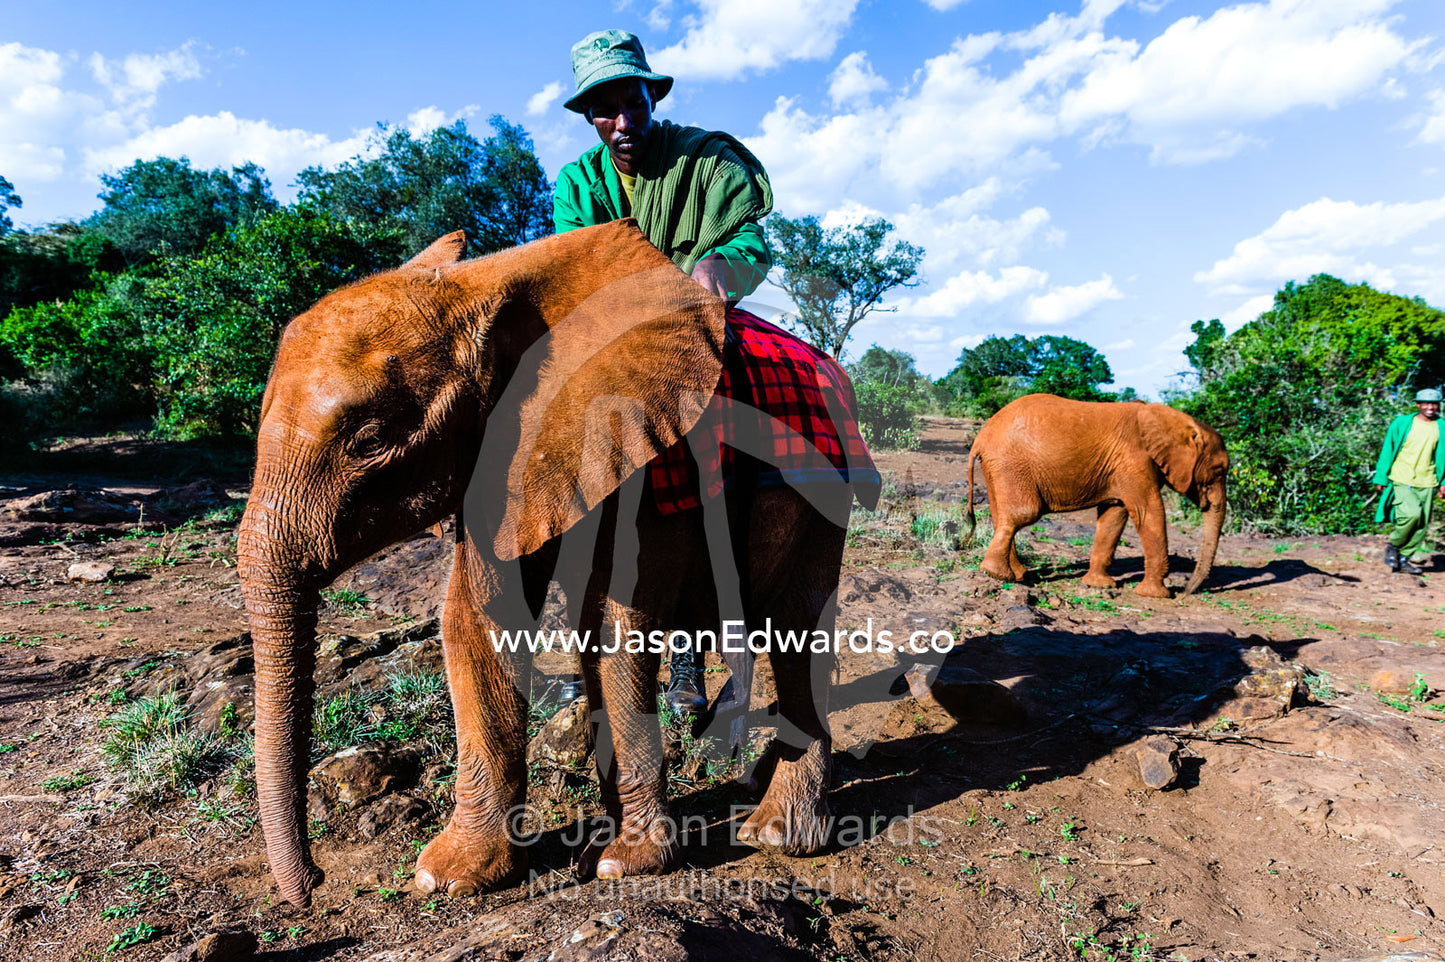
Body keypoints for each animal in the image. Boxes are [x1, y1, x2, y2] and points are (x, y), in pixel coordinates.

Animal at [236, 220, 874, 907]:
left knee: (798, 626)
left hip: (827, 484)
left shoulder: (639, 445)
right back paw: (756, 783)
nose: (315, 886)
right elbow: (477, 620)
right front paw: (451, 878)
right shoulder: (499, 455)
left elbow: (614, 626)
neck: (483, 286)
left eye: (370, 442)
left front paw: (625, 864)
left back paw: (777, 834)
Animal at [963, 394, 1228, 598]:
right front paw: (1157, 595)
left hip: (996, 468)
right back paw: (997, 574)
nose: (1185, 591)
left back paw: (1018, 575)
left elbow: (1114, 516)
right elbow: (1148, 513)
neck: (1173, 419)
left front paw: (1099, 585)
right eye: (1219, 470)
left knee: (1000, 514)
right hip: (1011, 464)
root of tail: (980, 437)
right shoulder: (1135, 461)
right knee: (1023, 513)